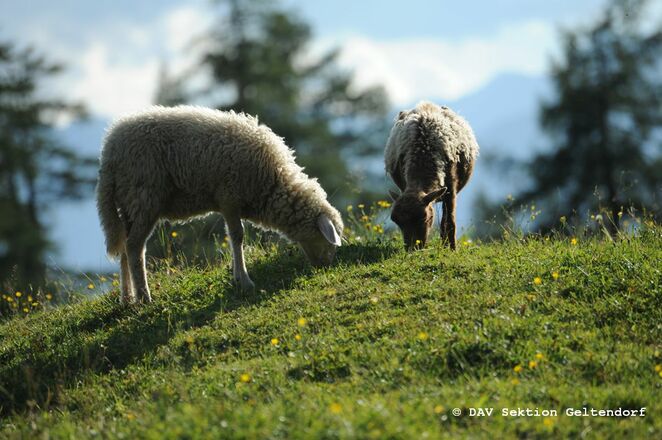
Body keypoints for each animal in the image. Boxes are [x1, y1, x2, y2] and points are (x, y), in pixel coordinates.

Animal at [96, 105, 343, 304]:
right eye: (326, 238)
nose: (325, 267)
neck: (272, 181)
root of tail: (109, 153)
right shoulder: (229, 197)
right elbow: (237, 236)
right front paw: (243, 280)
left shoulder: (229, 202)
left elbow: (235, 237)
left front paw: (238, 277)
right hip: (144, 197)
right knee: (134, 246)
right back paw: (144, 296)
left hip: (129, 204)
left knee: (125, 247)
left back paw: (127, 298)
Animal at [384, 101, 478, 250]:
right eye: (396, 221)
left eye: (424, 218)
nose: (413, 249)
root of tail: (426, 104)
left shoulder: (451, 189)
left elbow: (450, 222)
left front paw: (453, 249)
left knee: (445, 220)